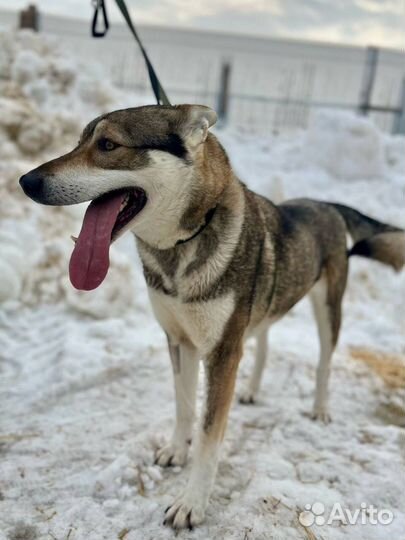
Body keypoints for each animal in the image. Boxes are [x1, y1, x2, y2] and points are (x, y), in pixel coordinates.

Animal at [19, 104, 404, 528]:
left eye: (107, 145)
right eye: (78, 142)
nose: (26, 181)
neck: (181, 246)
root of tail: (326, 205)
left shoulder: (221, 353)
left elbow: (208, 434)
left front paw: (192, 502)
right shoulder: (179, 341)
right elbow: (184, 406)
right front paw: (175, 450)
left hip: (327, 312)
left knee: (323, 364)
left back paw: (320, 408)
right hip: (262, 311)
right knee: (264, 343)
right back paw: (251, 389)